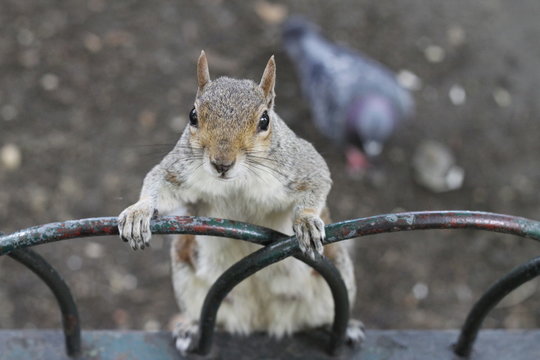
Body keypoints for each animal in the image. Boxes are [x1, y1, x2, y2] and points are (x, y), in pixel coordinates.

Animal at [117, 52, 362, 352]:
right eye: (193, 115)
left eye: (265, 120)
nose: (222, 163)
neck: (238, 181)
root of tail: (262, 320)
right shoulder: (179, 169)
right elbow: (157, 181)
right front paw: (138, 213)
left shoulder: (301, 164)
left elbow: (318, 179)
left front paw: (305, 221)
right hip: (187, 275)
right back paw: (193, 328)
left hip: (335, 276)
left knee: (322, 318)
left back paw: (343, 328)